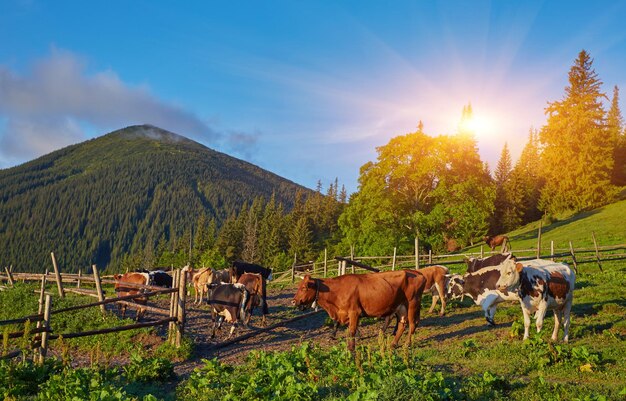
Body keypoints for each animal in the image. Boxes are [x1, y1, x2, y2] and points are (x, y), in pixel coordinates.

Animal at [292, 268, 424, 350]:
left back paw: (407, 344)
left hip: (412, 303)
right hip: (400, 307)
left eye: (304, 287)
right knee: (402, 324)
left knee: (412, 324)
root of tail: (417, 273)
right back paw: (393, 344)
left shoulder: (354, 312)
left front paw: (351, 349)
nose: (293, 301)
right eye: (298, 287)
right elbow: (347, 328)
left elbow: (351, 331)